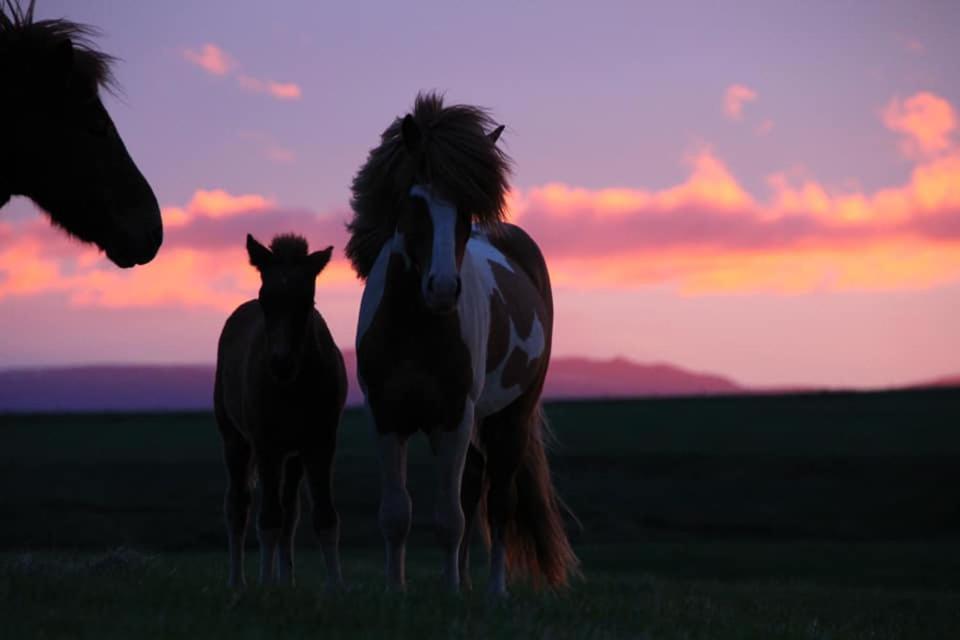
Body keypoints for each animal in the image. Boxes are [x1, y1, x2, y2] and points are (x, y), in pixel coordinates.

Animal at [214, 234, 344, 592]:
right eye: (265, 299)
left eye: (306, 301)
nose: (280, 363)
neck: (292, 388)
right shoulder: (266, 445)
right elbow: (267, 519)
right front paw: (265, 586)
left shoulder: (320, 444)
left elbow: (324, 516)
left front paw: (334, 587)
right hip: (235, 441)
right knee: (238, 506)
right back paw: (238, 581)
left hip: (294, 456)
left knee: (289, 511)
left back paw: (285, 579)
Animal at [348, 91, 580, 596]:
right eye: (414, 203)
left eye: (466, 211)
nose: (442, 288)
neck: (415, 330)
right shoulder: (387, 416)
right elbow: (397, 514)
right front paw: (397, 590)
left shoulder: (454, 417)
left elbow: (450, 519)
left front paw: (452, 592)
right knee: (474, 490)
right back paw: (468, 582)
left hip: (507, 418)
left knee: (497, 502)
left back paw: (492, 590)